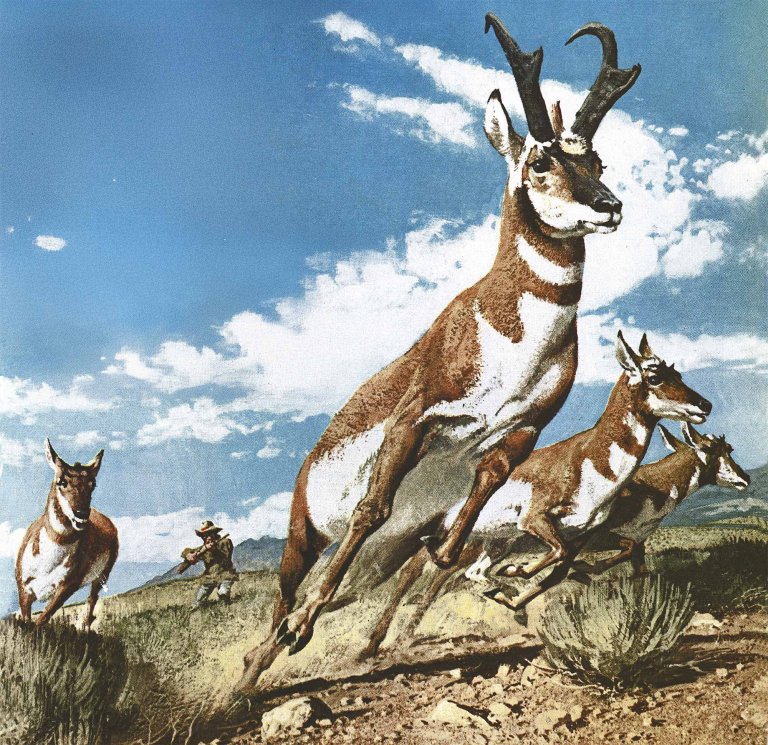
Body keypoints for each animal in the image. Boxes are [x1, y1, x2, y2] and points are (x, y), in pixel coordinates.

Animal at [15, 439, 118, 630]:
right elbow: (27, 623)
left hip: (101, 577)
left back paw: (85, 627)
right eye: (61, 481)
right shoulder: (24, 589)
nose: (82, 514)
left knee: (92, 599)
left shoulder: (65, 588)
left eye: (92, 484)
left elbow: (40, 621)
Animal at [238, 14, 640, 693]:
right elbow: (370, 508)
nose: (609, 206)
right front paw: (302, 629)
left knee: (359, 583)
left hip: (385, 556)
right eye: (540, 160)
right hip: (302, 537)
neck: (507, 332)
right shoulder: (415, 418)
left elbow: (454, 547)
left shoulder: (521, 434)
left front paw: (504, 587)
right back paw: (255, 671)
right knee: (284, 600)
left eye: (597, 158)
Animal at [358, 332, 712, 657]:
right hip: (453, 536)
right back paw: (373, 646)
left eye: (679, 374)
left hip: (495, 541)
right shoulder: (534, 519)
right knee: (415, 573)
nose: (705, 405)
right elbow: (556, 553)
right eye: (655, 377)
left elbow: (566, 558)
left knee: (458, 573)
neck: (589, 459)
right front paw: (515, 576)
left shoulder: (580, 533)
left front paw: (515, 586)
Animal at [578, 422, 750, 576]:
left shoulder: (639, 541)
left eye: (729, 448)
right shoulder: (598, 539)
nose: (745, 478)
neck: (652, 484)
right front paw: (583, 568)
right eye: (711, 449)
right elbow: (627, 550)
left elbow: (642, 572)